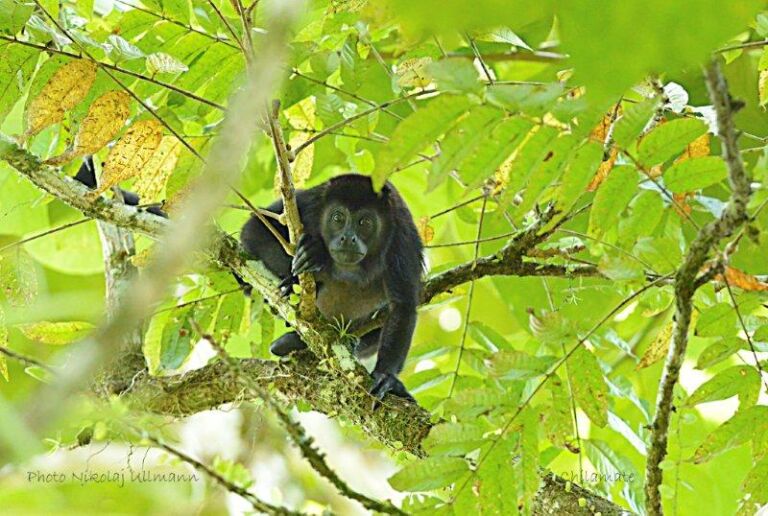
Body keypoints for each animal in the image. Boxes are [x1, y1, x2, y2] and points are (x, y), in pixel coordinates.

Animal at [240, 174, 424, 401]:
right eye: (338, 218)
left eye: (365, 222)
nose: (348, 238)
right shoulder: (309, 202)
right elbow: (256, 228)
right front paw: (308, 264)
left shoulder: (402, 235)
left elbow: (402, 306)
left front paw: (386, 377)